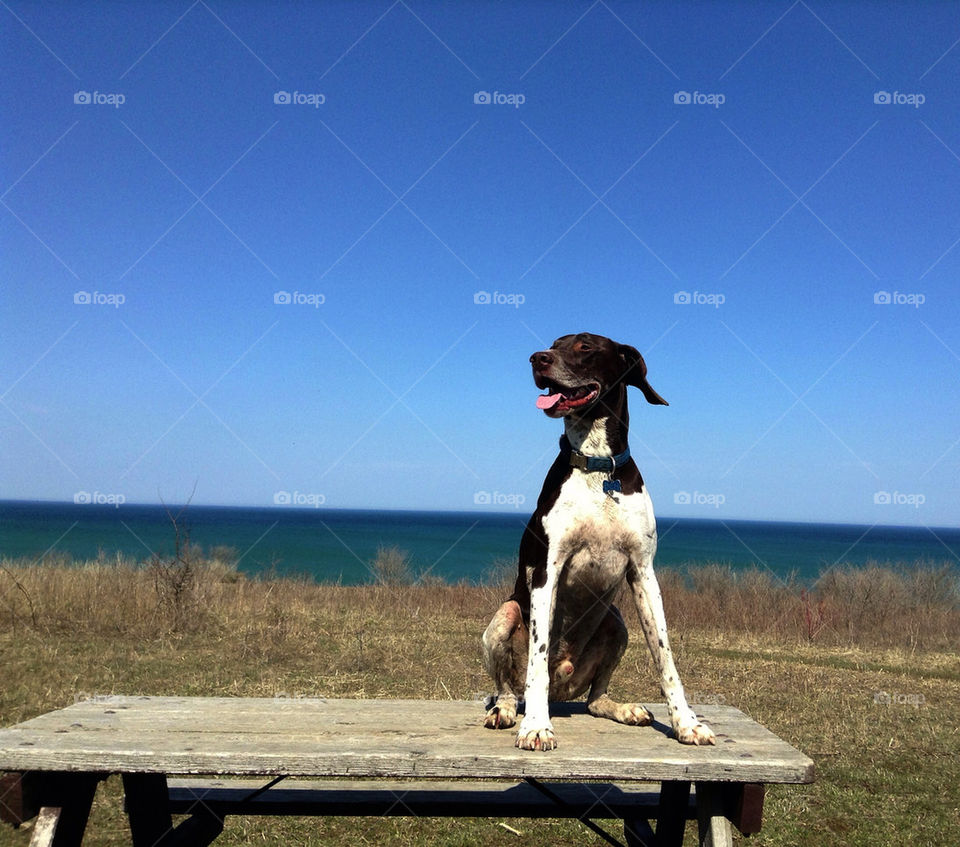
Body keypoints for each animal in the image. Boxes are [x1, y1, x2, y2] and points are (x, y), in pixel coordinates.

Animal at [484, 332, 716, 748]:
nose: (537, 359)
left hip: (616, 622)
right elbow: (538, 657)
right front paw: (536, 726)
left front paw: (686, 722)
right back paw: (507, 711)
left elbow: (665, 657)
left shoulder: (643, 573)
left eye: (586, 347)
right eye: (553, 343)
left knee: (594, 699)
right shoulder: (546, 572)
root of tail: (563, 690)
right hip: (504, 616)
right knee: (510, 686)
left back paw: (621, 709)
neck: (598, 466)